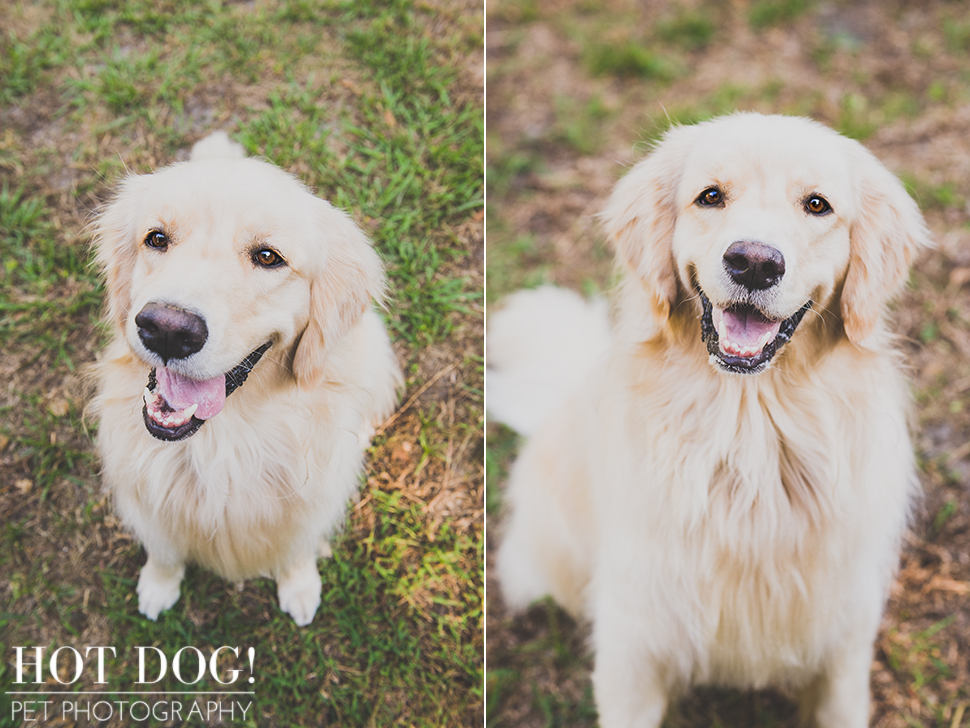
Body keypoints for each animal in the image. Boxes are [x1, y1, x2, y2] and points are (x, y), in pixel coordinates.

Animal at [87, 135, 398, 624]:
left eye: (268, 256)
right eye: (157, 238)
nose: (167, 329)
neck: (223, 443)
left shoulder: (309, 504)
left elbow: (297, 547)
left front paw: (299, 586)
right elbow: (164, 550)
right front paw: (158, 585)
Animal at [492, 114, 932, 724]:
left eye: (817, 205)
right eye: (711, 196)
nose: (754, 262)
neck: (749, 435)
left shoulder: (843, 644)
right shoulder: (633, 643)